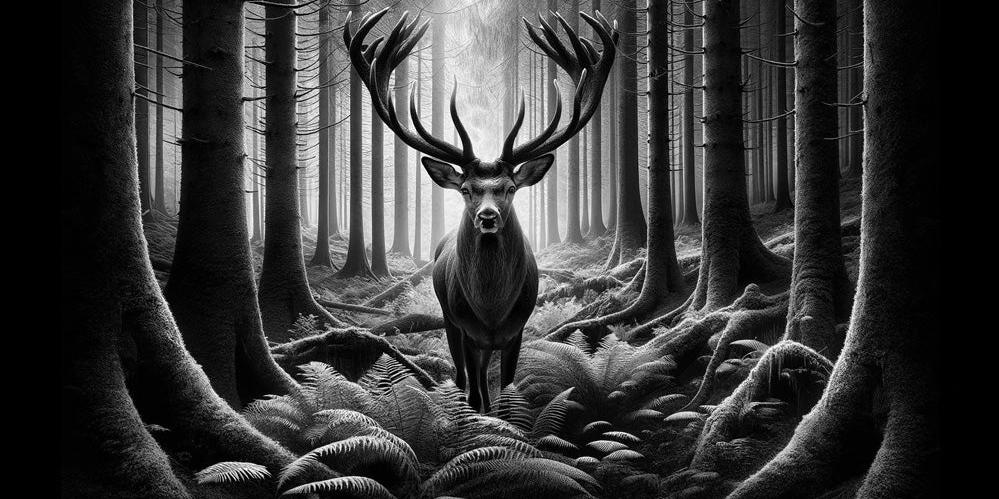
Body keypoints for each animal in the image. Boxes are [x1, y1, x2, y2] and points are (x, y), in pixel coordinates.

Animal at [344, 8, 617, 412]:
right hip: (450, 321)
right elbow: (474, 392)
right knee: (462, 379)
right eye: (466, 190)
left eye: (509, 189)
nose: (487, 217)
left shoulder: (516, 331)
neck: (491, 313)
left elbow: (506, 391)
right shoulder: (463, 327)